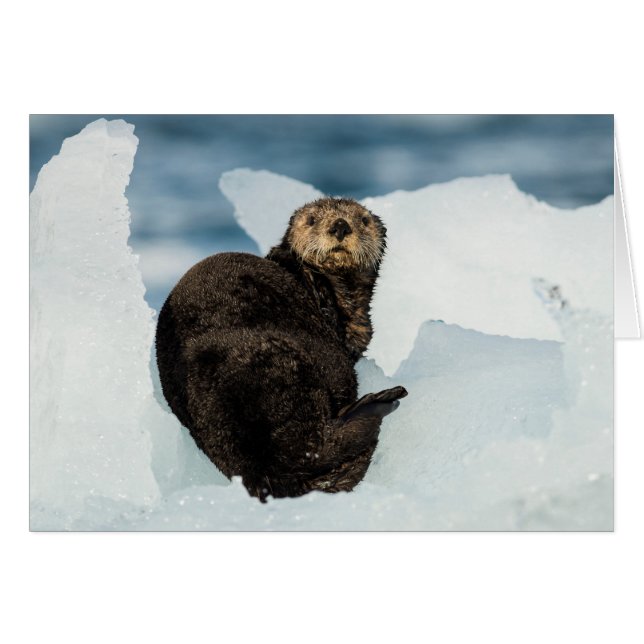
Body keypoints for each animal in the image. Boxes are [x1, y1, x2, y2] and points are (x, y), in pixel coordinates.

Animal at [155, 197, 407, 501]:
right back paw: (382, 401)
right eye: (311, 220)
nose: (340, 225)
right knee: (319, 445)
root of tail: (261, 470)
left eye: (363, 220)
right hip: (293, 370)